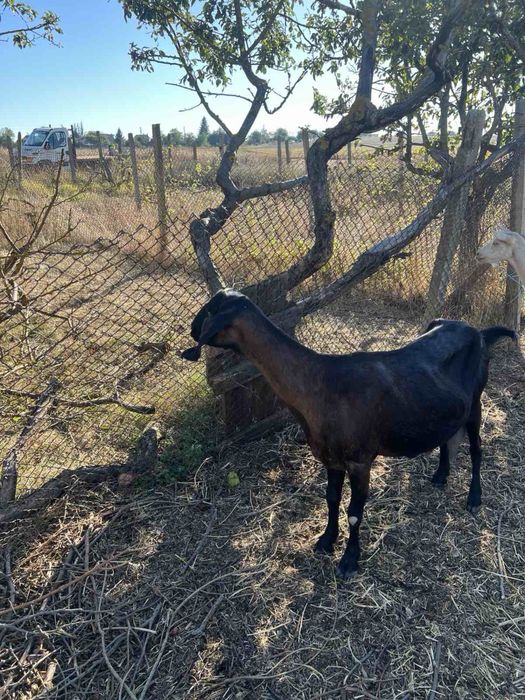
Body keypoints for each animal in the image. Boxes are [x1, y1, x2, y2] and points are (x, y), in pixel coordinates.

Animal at [182, 289, 515, 579]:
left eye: (210, 310)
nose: (192, 328)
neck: (323, 384)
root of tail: (479, 333)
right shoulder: (330, 458)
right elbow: (331, 499)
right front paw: (326, 540)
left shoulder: (360, 460)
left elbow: (354, 511)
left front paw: (349, 561)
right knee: (448, 437)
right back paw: (440, 475)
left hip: (475, 403)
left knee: (477, 449)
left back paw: (474, 497)